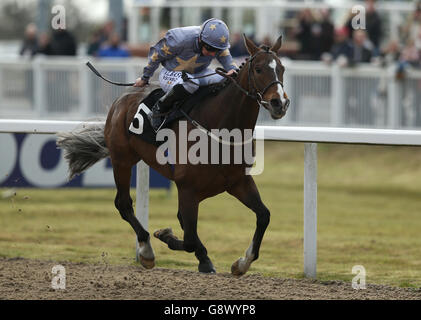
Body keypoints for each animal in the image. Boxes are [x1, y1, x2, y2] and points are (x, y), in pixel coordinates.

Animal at [56, 34, 288, 276]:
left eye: (281, 68)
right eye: (259, 69)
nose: (279, 103)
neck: (220, 127)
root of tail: (121, 100)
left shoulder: (238, 182)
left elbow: (263, 216)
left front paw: (242, 262)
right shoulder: (187, 188)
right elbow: (189, 239)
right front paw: (165, 235)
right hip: (122, 160)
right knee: (124, 204)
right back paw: (146, 249)